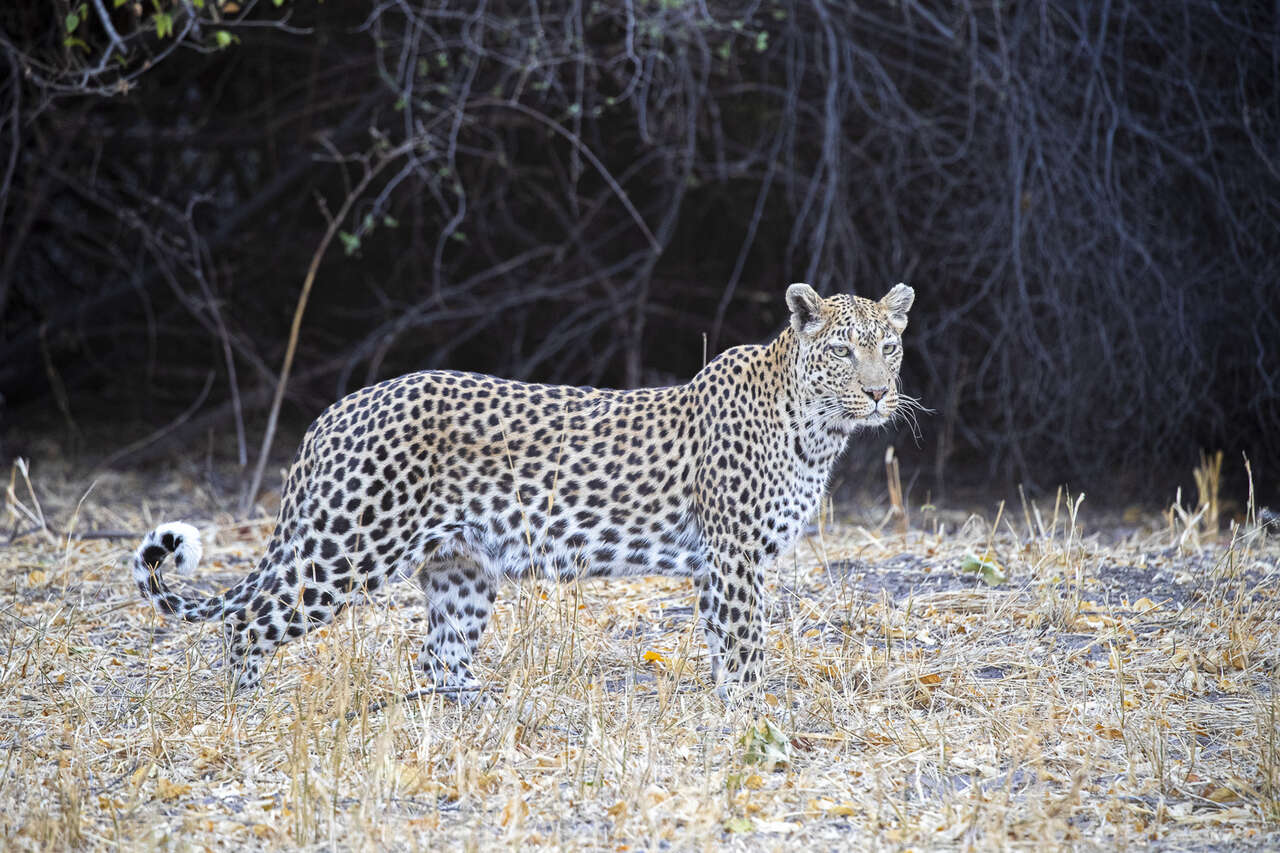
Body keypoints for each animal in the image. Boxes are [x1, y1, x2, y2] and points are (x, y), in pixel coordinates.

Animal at [129, 281, 916, 696]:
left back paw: (474, 710)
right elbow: (747, 640)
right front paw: (754, 713)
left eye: (890, 345)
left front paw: (731, 707)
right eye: (842, 351)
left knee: (438, 659)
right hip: (346, 551)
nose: (880, 393)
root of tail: (337, 411)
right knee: (245, 622)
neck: (816, 428)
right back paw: (248, 706)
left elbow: (727, 640)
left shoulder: (719, 563)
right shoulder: (733, 554)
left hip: (462, 570)